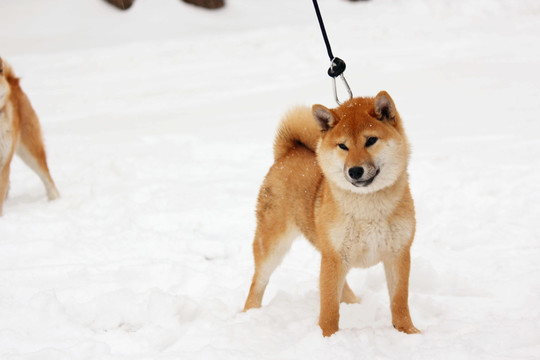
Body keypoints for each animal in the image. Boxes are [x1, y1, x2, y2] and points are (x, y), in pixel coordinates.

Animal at [243, 90, 420, 338]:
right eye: (343, 146)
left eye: (371, 140)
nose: (355, 171)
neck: (368, 208)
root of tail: (288, 153)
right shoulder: (334, 257)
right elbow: (328, 307)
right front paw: (328, 337)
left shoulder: (398, 253)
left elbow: (399, 301)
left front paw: (408, 332)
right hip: (273, 245)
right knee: (257, 282)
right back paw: (250, 315)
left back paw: (355, 302)